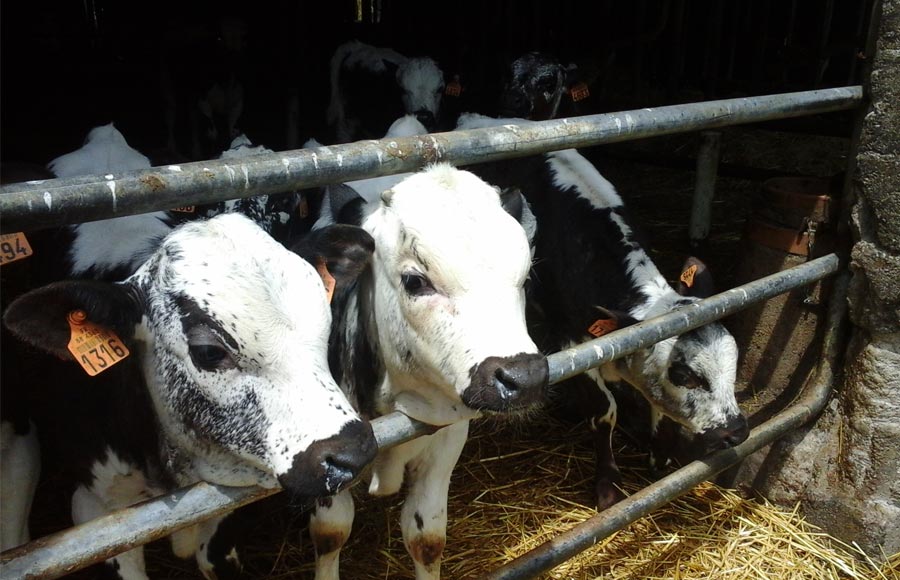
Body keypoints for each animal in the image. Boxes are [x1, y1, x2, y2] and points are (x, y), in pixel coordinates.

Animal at [308, 163, 548, 580]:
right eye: (415, 280)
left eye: (527, 279)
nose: (525, 378)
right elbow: (331, 531)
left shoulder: (450, 430)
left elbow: (426, 537)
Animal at [454, 114, 748, 512]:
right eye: (684, 374)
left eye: (734, 360)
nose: (738, 431)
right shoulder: (572, 338)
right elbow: (604, 411)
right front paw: (608, 482)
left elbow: (655, 404)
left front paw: (659, 453)